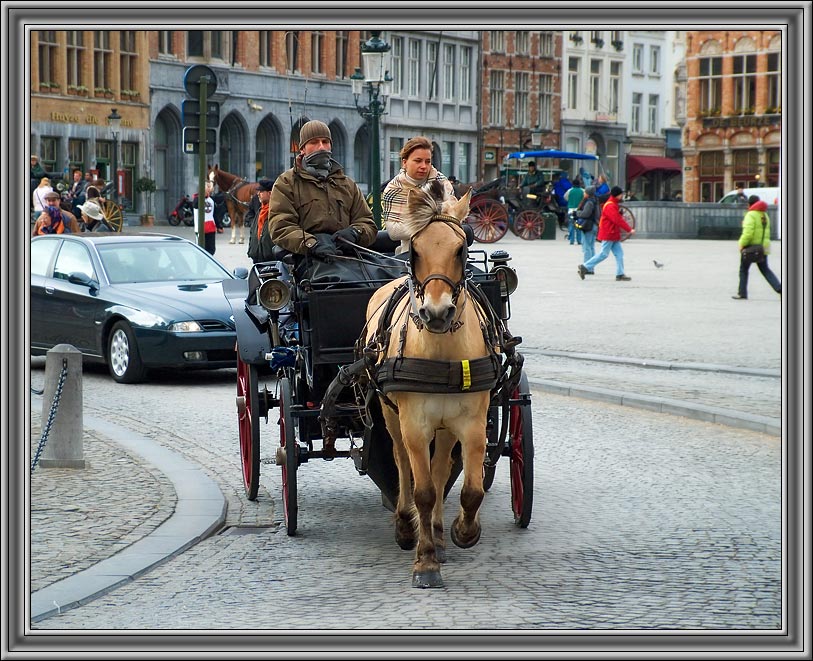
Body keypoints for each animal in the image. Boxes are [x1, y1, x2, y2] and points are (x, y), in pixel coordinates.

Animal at [362, 180, 494, 588]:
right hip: (392, 417)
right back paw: (407, 526)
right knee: (403, 464)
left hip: (446, 425)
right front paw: (425, 562)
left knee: (440, 469)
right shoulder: (415, 425)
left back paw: (435, 530)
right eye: (415, 251)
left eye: (461, 248)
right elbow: (422, 490)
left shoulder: (471, 424)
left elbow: (470, 490)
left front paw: (463, 532)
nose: (436, 313)